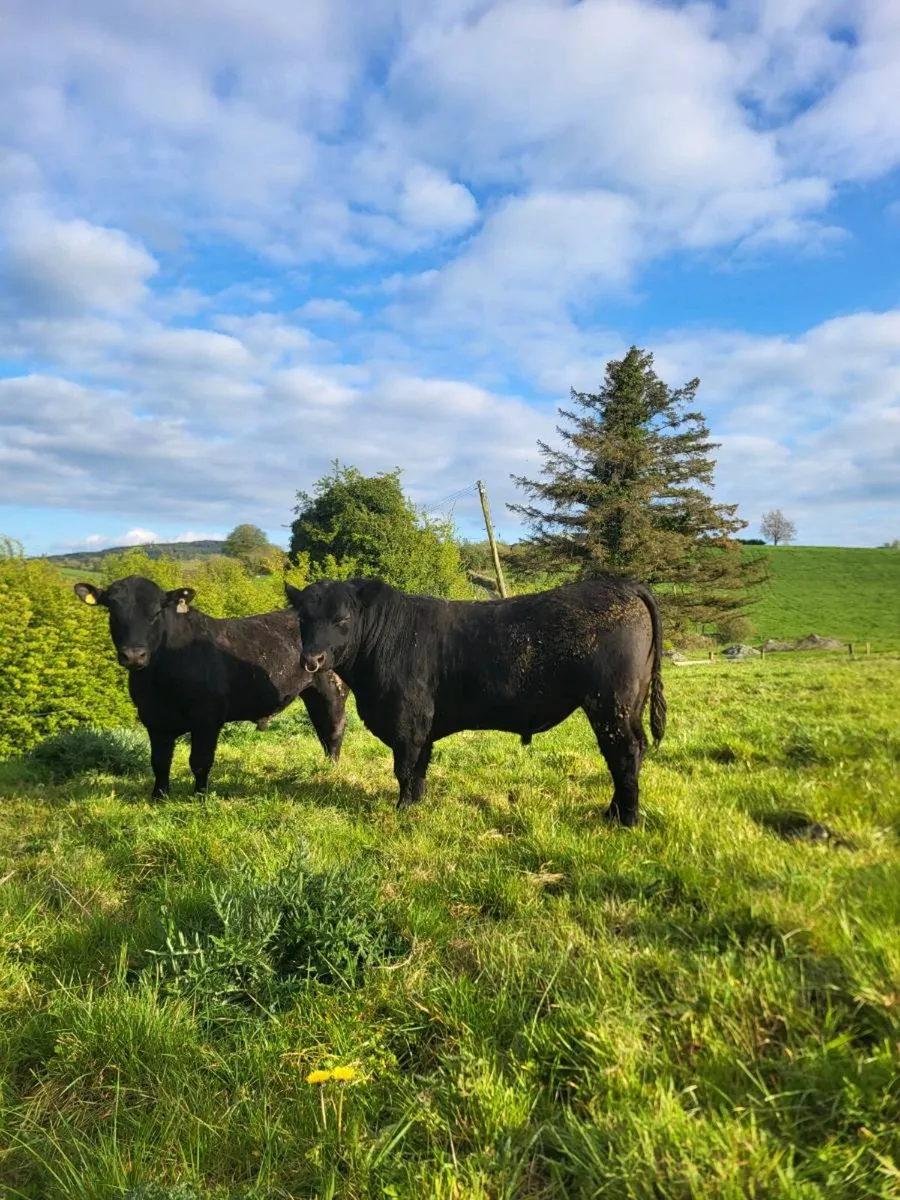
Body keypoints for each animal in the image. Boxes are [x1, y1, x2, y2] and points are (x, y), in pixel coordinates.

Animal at [75, 574, 348, 798]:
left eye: (156, 614)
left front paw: (200, 796)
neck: (160, 680)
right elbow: (159, 762)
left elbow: (200, 760)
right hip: (311, 692)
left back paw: (331, 770)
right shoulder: (153, 718)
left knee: (334, 729)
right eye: (113, 613)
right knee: (322, 729)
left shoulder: (207, 718)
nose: (133, 655)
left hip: (332, 689)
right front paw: (158, 796)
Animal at [285, 575, 665, 826]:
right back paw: (615, 812)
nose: (312, 659)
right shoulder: (424, 725)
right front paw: (417, 805)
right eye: (302, 618)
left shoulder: (408, 721)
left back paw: (625, 820)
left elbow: (404, 769)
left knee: (623, 753)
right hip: (630, 703)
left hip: (611, 704)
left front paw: (403, 811)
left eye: (343, 618)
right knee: (634, 752)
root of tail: (622, 584)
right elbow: (419, 768)